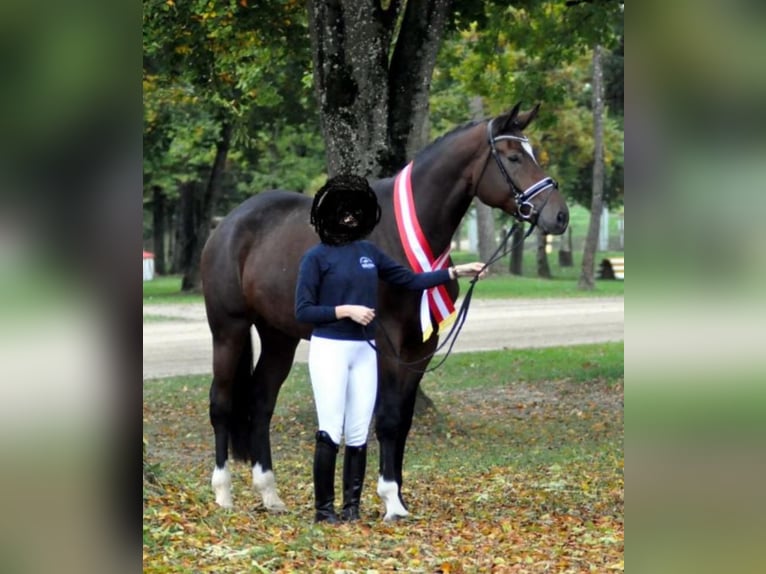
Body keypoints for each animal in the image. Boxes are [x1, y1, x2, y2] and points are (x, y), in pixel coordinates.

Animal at [200, 102, 569, 520]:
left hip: (279, 335)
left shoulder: (420, 346)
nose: (559, 216)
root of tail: (228, 224)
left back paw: (269, 493)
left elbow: (403, 421)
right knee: (222, 403)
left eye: (533, 152)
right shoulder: (386, 340)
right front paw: (391, 500)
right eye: (513, 157)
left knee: (261, 401)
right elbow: (389, 419)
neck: (399, 233)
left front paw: (399, 497)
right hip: (228, 330)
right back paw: (223, 493)